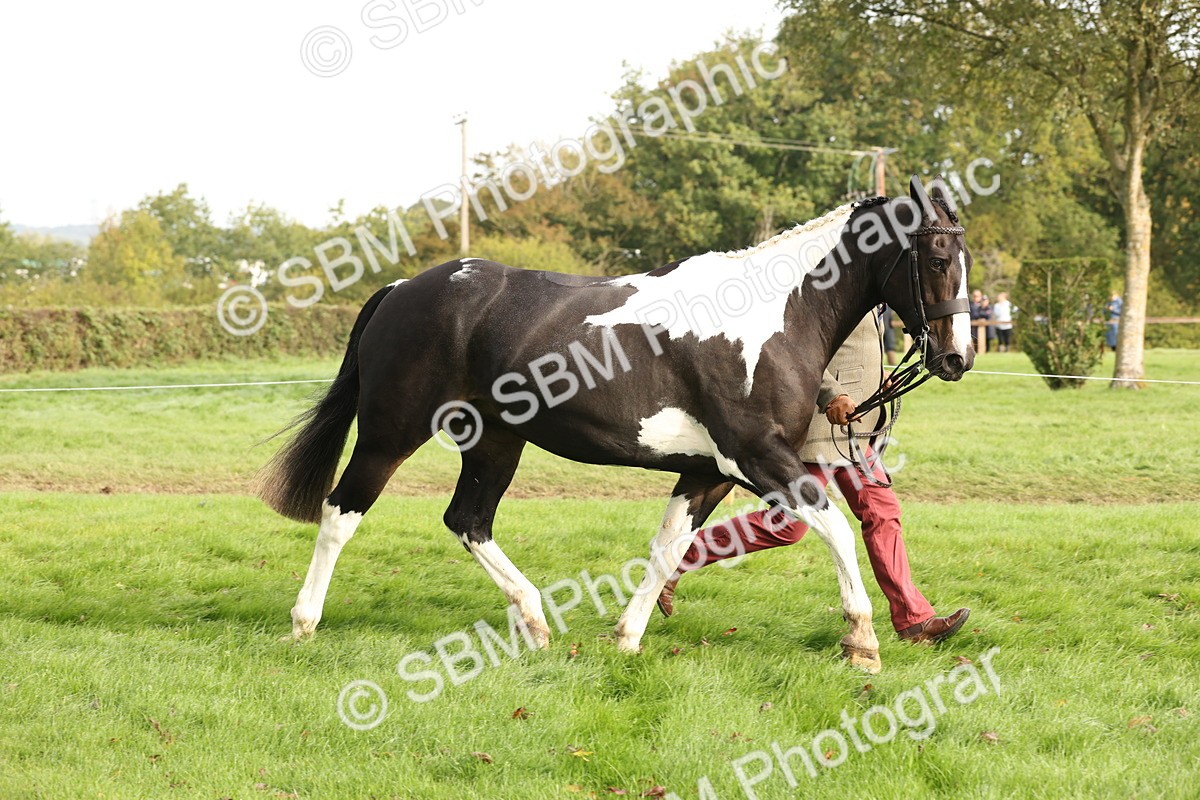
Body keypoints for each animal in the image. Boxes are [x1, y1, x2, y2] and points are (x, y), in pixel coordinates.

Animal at [258, 176, 973, 674]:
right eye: (938, 259)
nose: (957, 358)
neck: (772, 315)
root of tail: (401, 289)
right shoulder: (759, 457)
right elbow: (839, 531)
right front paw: (863, 641)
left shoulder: (708, 471)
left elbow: (668, 549)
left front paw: (628, 638)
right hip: (391, 433)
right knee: (341, 512)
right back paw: (303, 622)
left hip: (495, 442)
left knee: (467, 521)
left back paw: (536, 623)